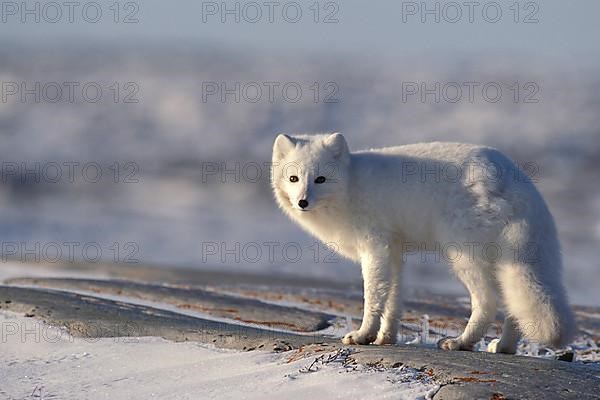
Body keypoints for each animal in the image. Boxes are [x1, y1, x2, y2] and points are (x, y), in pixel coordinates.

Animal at [272, 134, 576, 354]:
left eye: (321, 179)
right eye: (293, 178)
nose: (302, 202)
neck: (351, 187)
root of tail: (517, 181)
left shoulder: (375, 248)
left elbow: (373, 296)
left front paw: (362, 335)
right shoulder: (394, 250)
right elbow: (394, 299)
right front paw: (386, 338)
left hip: (463, 255)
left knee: (489, 301)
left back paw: (461, 342)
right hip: (501, 261)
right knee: (512, 303)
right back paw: (504, 347)